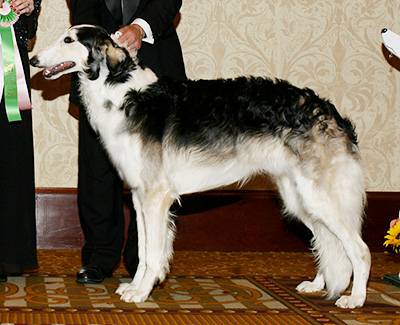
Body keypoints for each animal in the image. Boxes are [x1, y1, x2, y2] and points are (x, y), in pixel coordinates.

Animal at [29, 24, 370, 308]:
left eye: (68, 40)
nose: (32, 59)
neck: (123, 92)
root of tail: (329, 111)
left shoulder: (156, 196)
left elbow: (152, 253)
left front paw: (142, 293)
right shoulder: (139, 196)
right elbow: (143, 251)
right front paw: (135, 287)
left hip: (319, 197)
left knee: (359, 250)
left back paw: (355, 299)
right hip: (299, 198)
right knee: (327, 242)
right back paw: (317, 284)